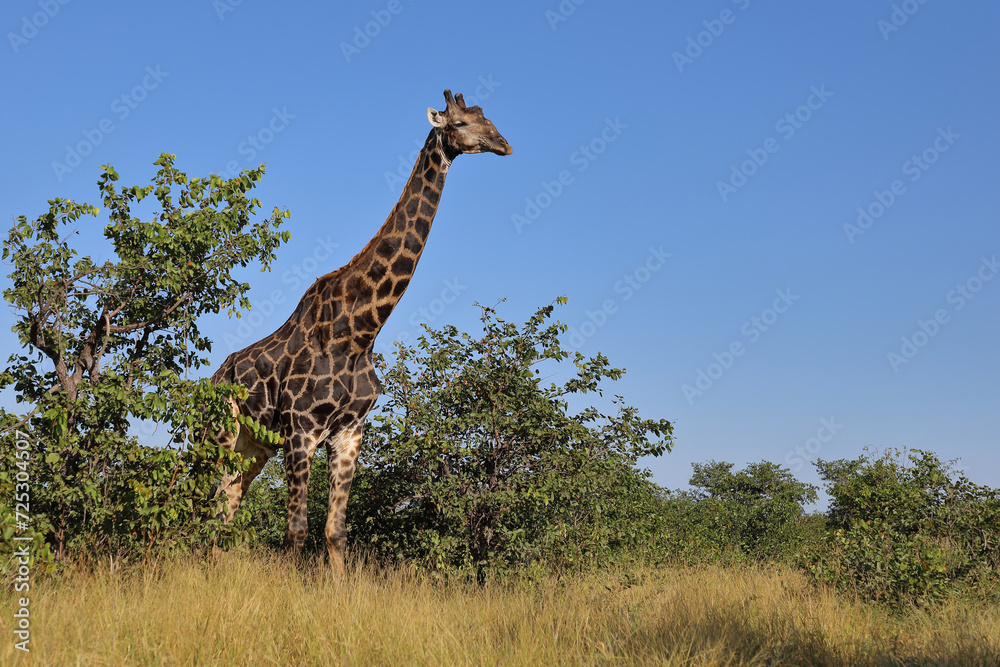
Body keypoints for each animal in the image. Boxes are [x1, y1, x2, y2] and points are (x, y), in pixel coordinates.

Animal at [211, 89, 512, 575]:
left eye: (488, 118)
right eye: (460, 123)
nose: (504, 144)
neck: (360, 332)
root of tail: (214, 378)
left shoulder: (349, 432)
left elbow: (335, 532)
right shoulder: (301, 430)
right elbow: (296, 532)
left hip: (254, 444)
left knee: (229, 499)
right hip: (220, 432)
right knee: (209, 499)